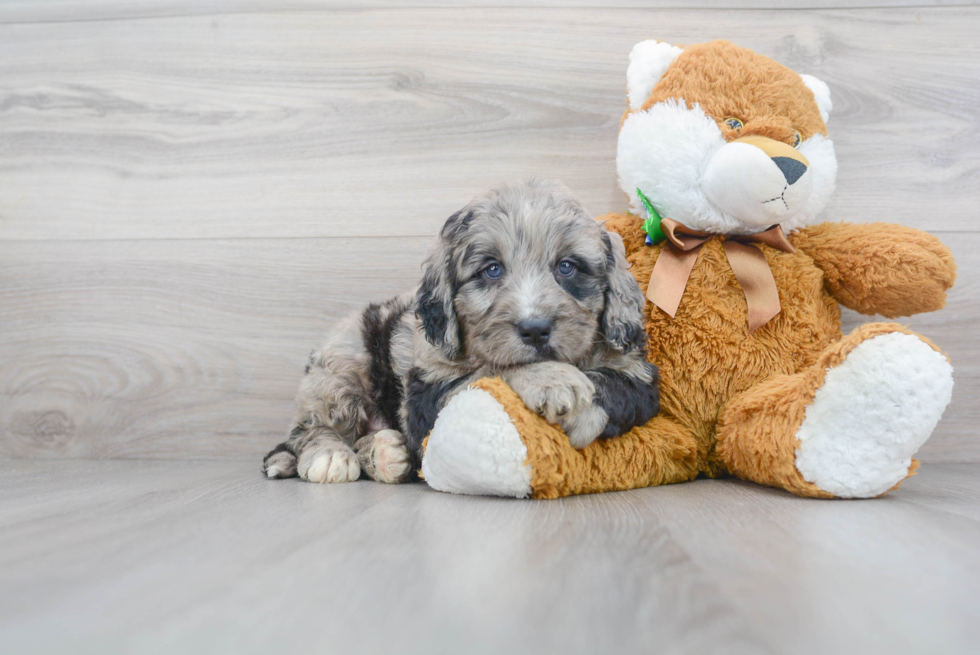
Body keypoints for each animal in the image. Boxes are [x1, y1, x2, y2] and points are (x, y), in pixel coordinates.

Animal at [260, 182, 660, 484]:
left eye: (567, 267)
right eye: (492, 269)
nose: (535, 330)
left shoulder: (638, 378)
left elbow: (610, 384)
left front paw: (578, 407)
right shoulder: (426, 393)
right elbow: (492, 368)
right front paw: (552, 380)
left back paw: (386, 454)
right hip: (342, 362)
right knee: (310, 429)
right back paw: (332, 455)